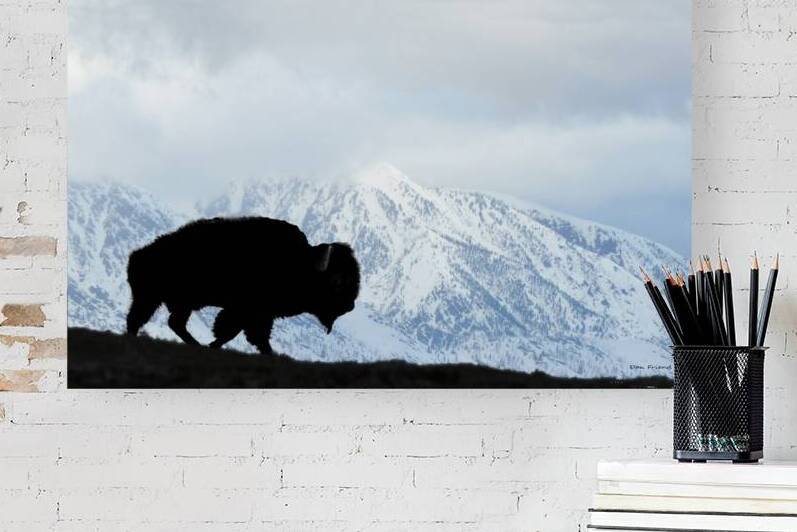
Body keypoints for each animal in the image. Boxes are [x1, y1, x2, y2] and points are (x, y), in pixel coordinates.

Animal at [126, 216, 361, 354]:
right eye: (338, 282)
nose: (350, 306)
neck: (301, 262)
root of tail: (139, 255)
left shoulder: (260, 314)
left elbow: (244, 334)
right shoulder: (247, 311)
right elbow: (236, 332)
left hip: (166, 302)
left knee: (164, 322)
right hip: (159, 299)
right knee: (147, 321)